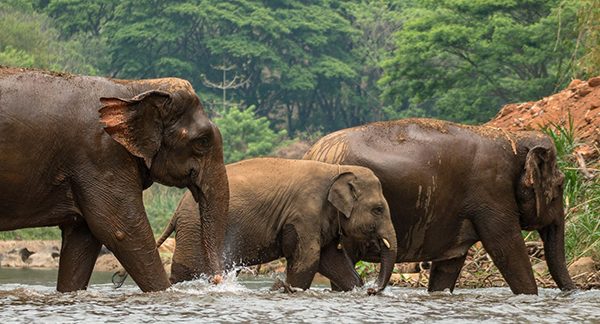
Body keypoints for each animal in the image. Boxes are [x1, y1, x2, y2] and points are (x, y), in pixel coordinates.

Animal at [0, 67, 229, 292]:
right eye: (203, 141)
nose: (217, 280)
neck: (133, 88)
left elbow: (83, 237)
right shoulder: (102, 155)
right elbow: (123, 230)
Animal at [155, 158, 398, 294]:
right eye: (378, 209)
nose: (373, 290)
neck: (336, 169)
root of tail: (177, 210)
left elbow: (332, 259)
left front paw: (357, 288)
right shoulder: (304, 213)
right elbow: (309, 258)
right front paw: (289, 289)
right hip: (195, 230)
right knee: (189, 269)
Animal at [304, 118, 576, 294]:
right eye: (561, 184)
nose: (571, 292)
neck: (513, 138)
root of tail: (310, 153)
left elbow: (449, 263)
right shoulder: (492, 192)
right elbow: (506, 247)